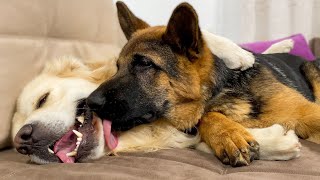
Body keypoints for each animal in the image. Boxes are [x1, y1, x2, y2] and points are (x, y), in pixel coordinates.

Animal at [87, 2, 320, 167]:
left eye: (144, 63)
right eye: (118, 67)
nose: (90, 102)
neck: (222, 91)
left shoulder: (309, 113)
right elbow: (206, 116)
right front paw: (228, 134)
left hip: (309, 68)